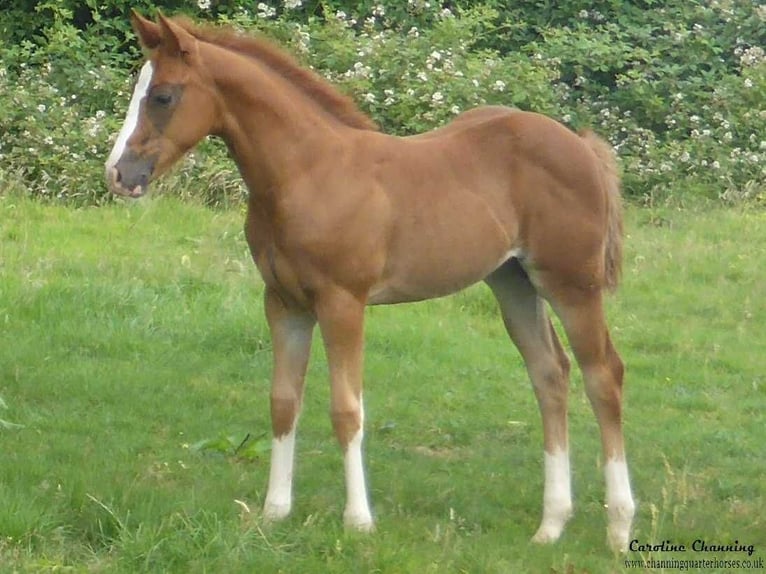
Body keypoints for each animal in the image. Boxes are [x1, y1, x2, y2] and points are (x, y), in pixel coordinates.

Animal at [105, 12, 640, 552]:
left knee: (603, 376)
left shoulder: (342, 302)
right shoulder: (283, 302)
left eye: (163, 96)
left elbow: (347, 411)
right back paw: (551, 525)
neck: (308, 171)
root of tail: (581, 145)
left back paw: (619, 528)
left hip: (572, 284)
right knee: (550, 373)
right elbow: (283, 402)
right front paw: (275, 512)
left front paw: (358, 521)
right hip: (513, 282)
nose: (118, 173)